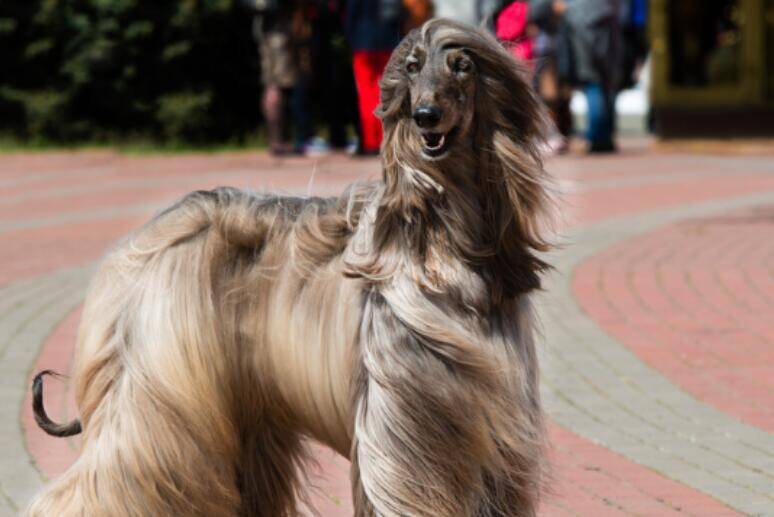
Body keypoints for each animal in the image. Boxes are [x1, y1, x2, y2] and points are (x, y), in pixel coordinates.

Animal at [28, 19, 552, 516]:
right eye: (412, 66)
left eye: (462, 66)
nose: (425, 116)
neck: (441, 239)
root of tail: (140, 243)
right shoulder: (401, 425)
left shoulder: (487, 429)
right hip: (156, 394)